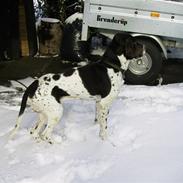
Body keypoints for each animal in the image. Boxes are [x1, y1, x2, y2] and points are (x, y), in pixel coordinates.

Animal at [10, 33, 144, 144]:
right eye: (134, 42)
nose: (143, 46)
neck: (111, 65)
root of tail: (32, 85)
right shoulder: (104, 103)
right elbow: (104, 126)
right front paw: (105, 141)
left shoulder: (98, 103)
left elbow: (99, 122)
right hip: (56, 112)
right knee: (45, 135)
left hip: (44, 115)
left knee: (34, 132)